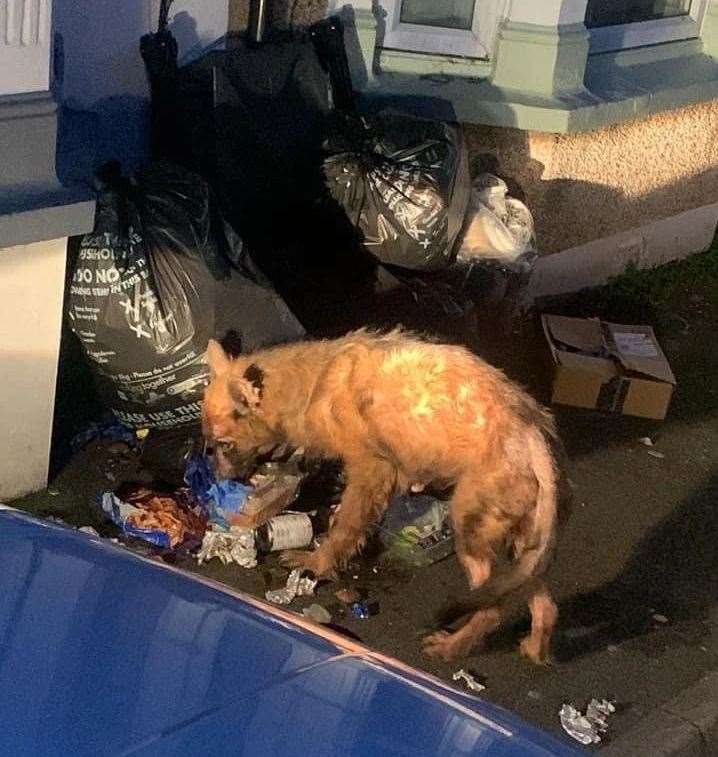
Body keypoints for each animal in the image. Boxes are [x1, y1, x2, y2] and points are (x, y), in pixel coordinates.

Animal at [204, 330, 568, 660]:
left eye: (225, 445)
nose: (219, 482)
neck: (312, 385)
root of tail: (533, 434)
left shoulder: (370, 471)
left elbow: (345, 528)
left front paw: (317, 563)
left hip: (470, 530)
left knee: (493, 608)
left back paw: (451, 648)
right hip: (521, 546)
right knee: (540, 601)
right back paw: (535, 649)